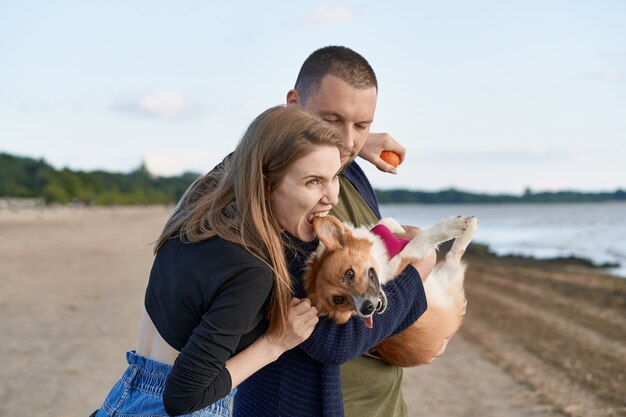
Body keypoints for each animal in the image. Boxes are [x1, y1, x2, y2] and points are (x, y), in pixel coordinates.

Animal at [304, 213, 476, 366]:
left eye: (350, 273)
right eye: (338, 300)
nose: (367, 308)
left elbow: (386, 222)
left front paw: (398, 229)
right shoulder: (402, 262)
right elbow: (420, 240)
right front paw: (451, 226)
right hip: (449, 278)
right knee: (453, 256)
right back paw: (469, 230)